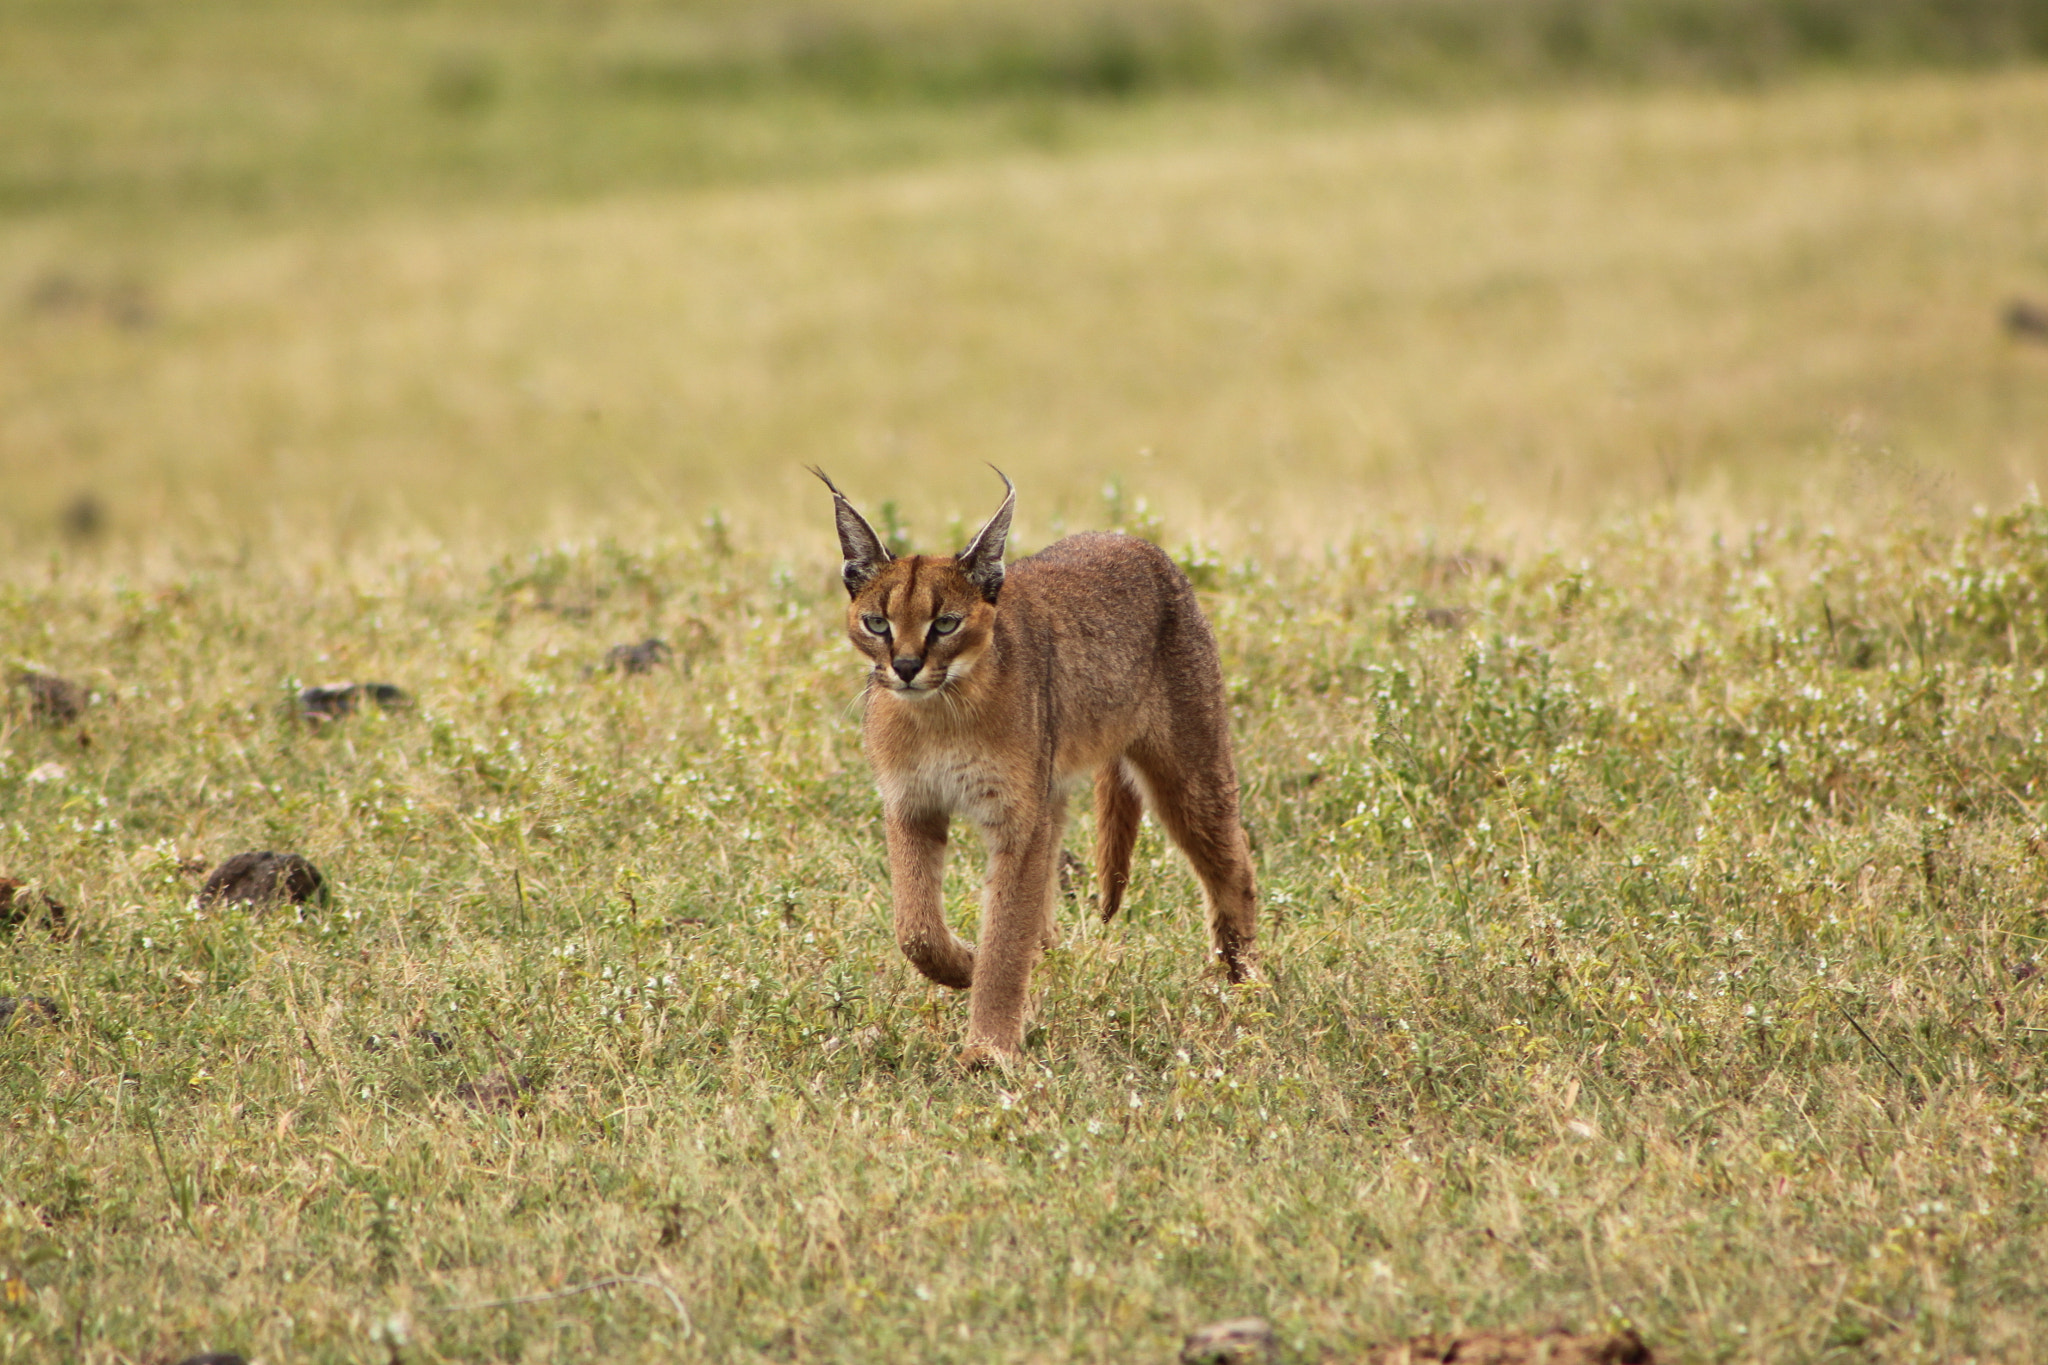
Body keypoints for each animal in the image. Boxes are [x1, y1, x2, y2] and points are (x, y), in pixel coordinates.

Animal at [806, 470, 1253, 1064]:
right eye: (877, 623)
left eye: (945, 623)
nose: (904, 667)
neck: (940, 716)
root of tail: (1133, 542)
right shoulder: (912, 805)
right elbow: (917, 929)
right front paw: (964, 969)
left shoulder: (1017, 821)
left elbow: (1004, 936)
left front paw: (988, 1048)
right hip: (1055, 793)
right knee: (1042, 920)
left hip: (1189, 770)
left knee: (1234, 864)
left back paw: (1246, 989)